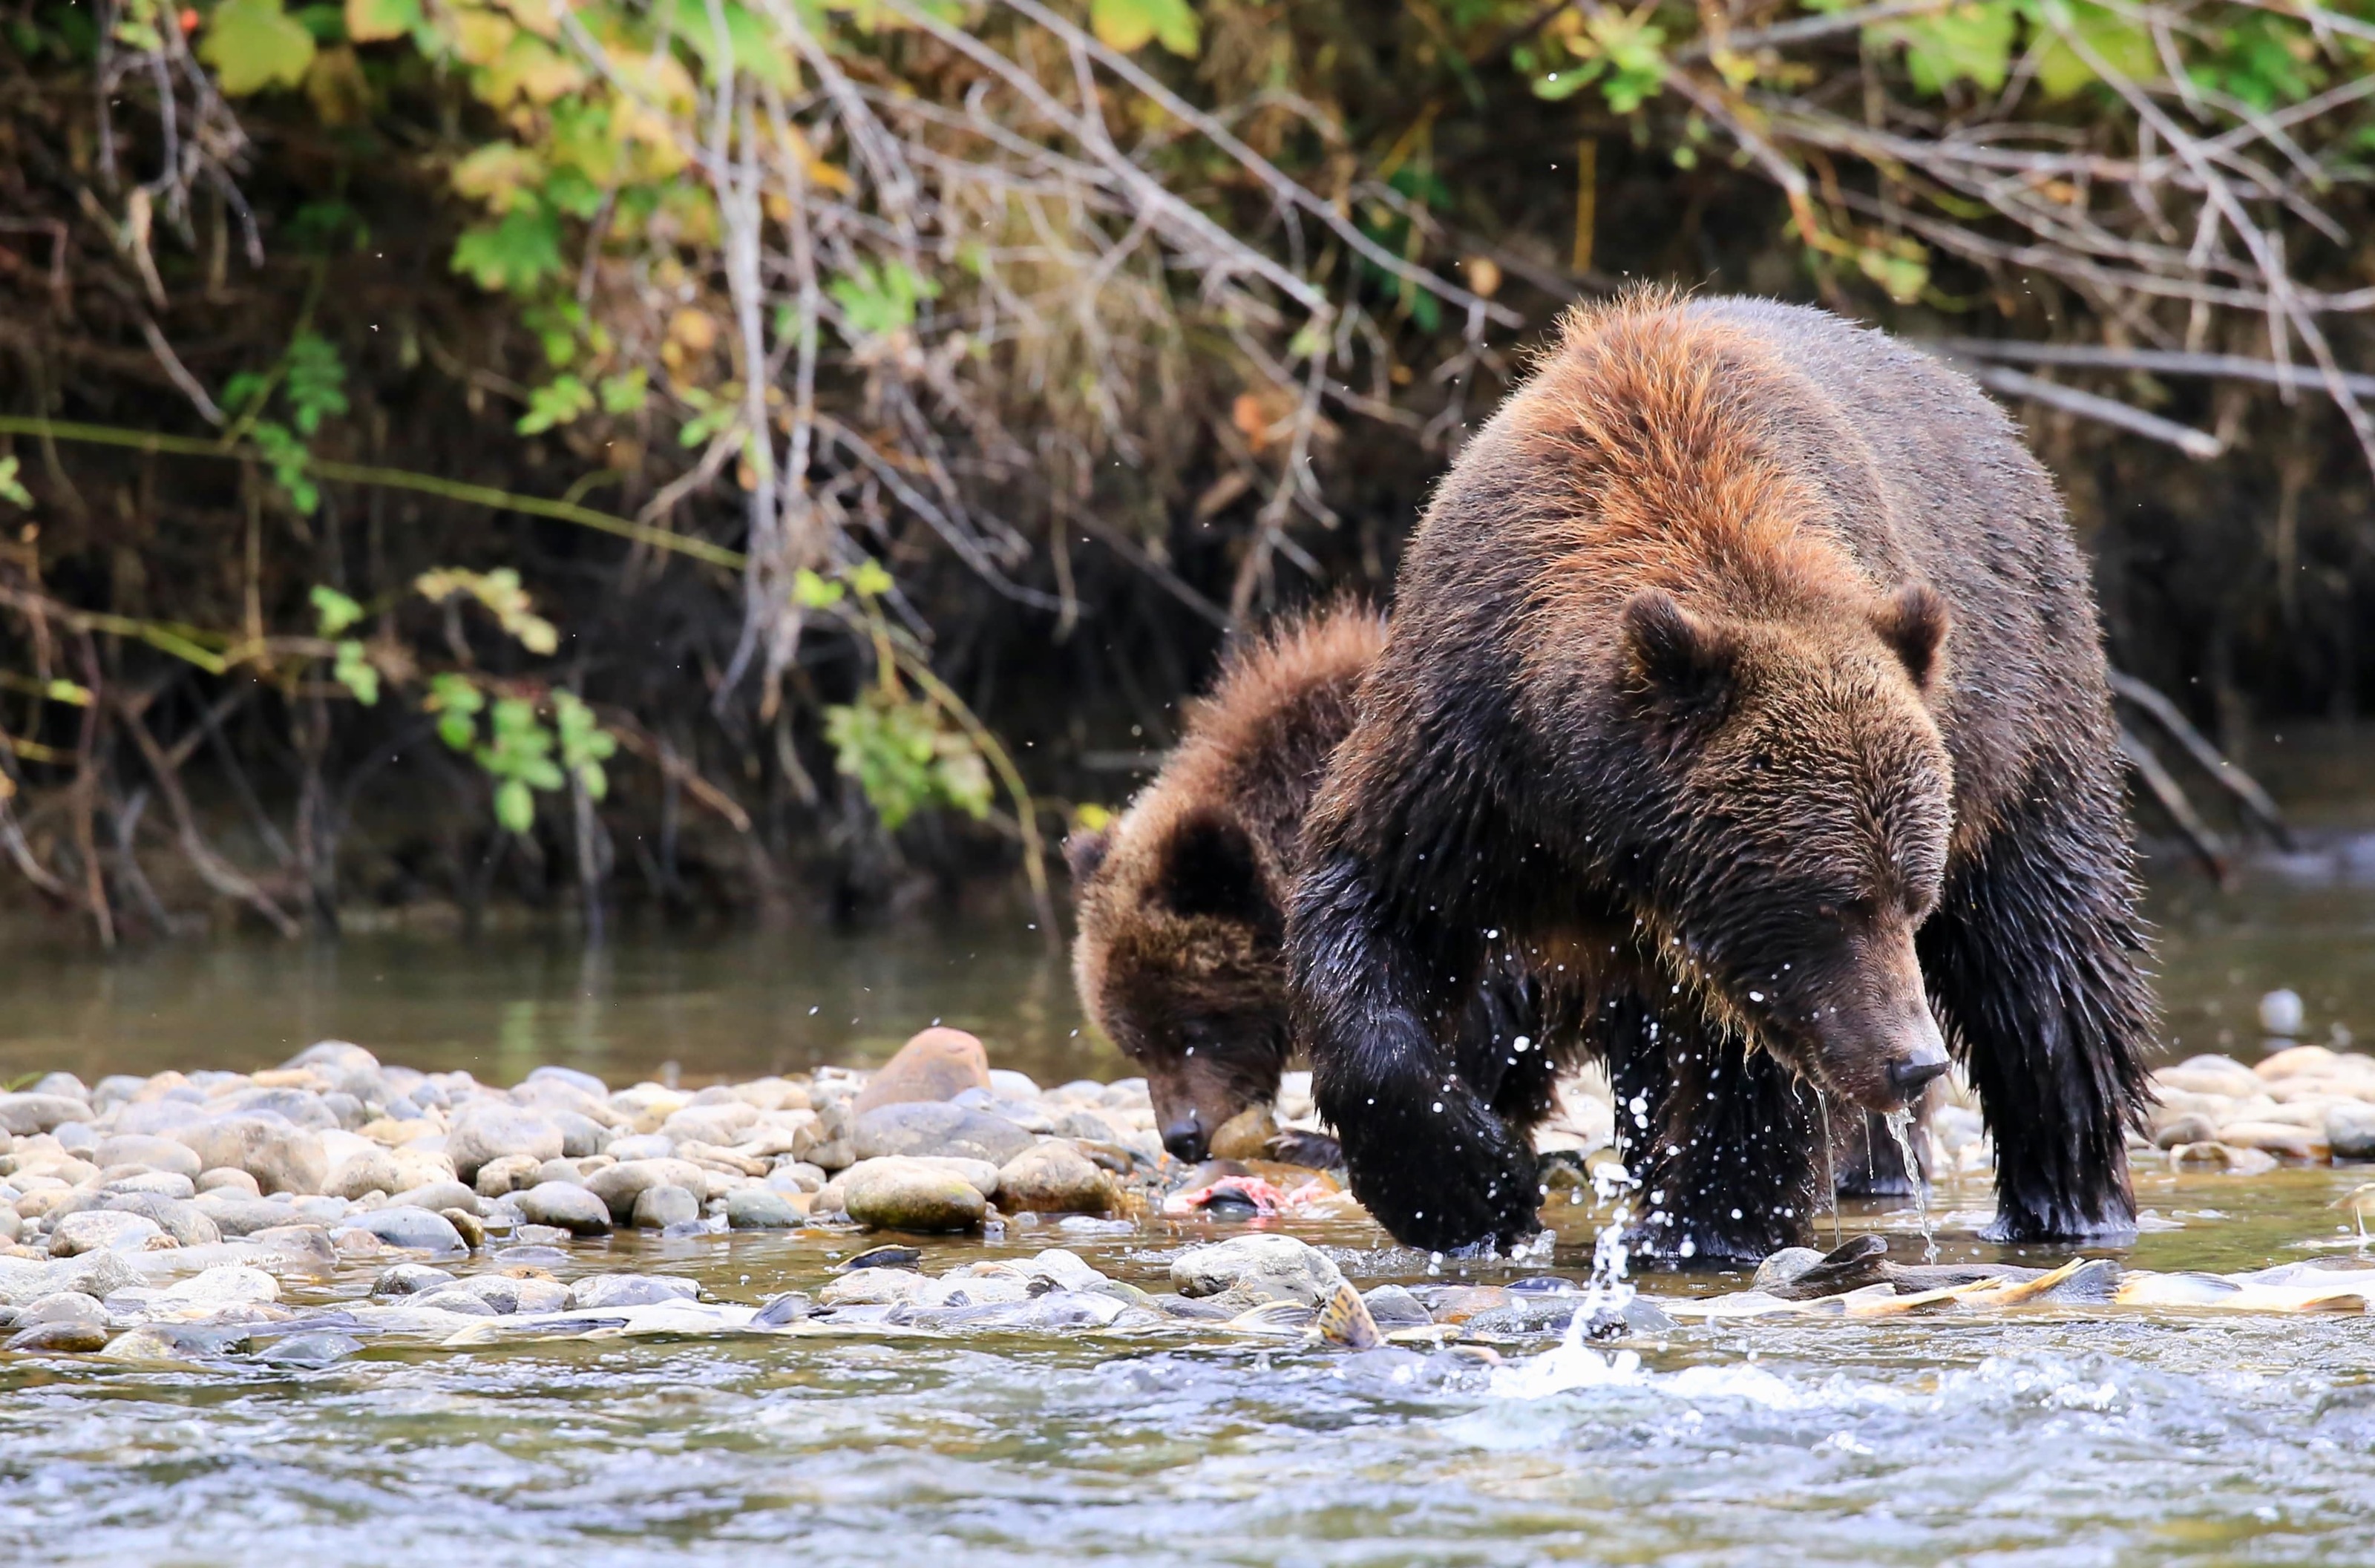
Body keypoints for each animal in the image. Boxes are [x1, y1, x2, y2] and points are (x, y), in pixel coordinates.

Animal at [1291, 291, 2166, 1264]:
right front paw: (1468, 1186)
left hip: (2020, 723)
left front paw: (1713, 1220)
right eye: (1838, 900)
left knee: (2045, 970)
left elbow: (1751, 1064)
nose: (1912, 1060)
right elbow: (1377, 906)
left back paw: (2066, 1198)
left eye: (1910, 897)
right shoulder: (1464, 756)